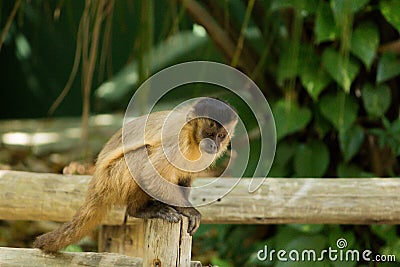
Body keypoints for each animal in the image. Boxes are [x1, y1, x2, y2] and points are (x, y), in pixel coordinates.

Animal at [33, 98, 238, 253]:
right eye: (208, 133)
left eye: (220, 136)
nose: (213, 145)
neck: (193, 140)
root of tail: (96, 185)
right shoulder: (178, 141)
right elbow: (151, 175)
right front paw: (189, 211)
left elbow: (184, 178)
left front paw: (180, 207)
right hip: (112, 177)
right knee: (142, 154)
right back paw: (139, 210)